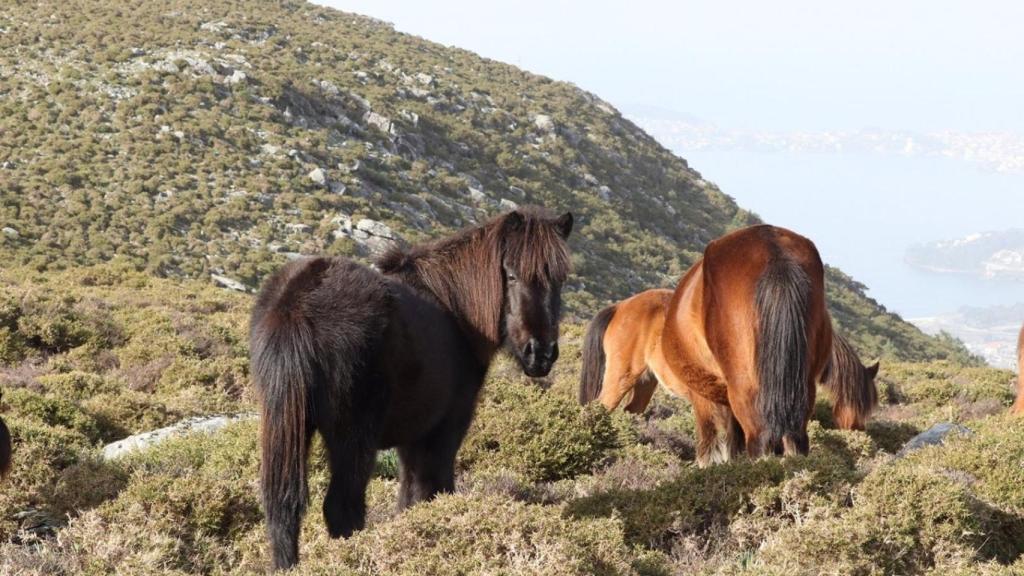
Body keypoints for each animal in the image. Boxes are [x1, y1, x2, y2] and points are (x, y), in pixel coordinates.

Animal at [250, 207, 572, 570]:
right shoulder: (445, 428)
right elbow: (434, 488)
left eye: (560, 279)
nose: (540, 353)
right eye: (512, 275)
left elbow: (409, 497)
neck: (454, 307)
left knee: (283, 509)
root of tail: (298, 303)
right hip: (353, 439)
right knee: (342, 508)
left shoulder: (412, 437)